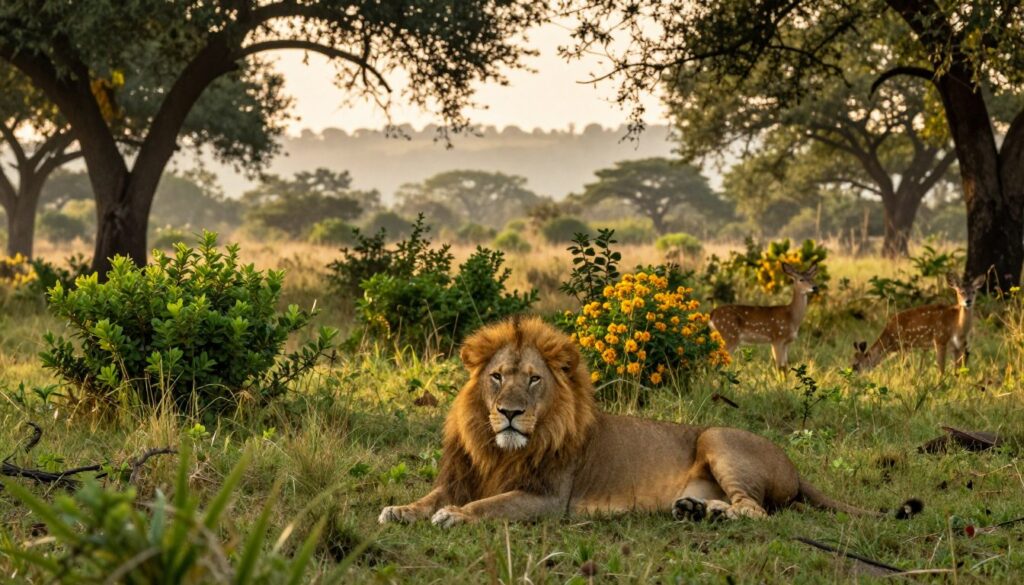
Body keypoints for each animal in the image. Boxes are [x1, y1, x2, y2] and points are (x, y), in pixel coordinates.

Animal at [379, 316, 919, 527]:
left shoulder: (548, 498)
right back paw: (694, 509)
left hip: (718, 437)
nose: (510, 412)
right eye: (496, 377)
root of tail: (795, 467)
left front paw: (456, 516)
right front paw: (400, 510)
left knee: (756, 511)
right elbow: (430, 496)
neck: (500, 449)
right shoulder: (465, 475)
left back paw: (711, 512)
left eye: (533, 380)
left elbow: (490, 506)